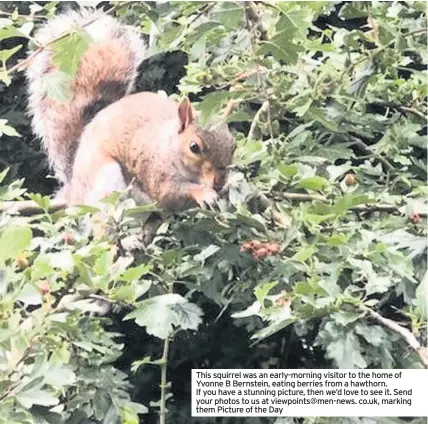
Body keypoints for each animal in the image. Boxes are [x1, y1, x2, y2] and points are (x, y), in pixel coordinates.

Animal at [25, 11, 237, 212]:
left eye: (233, 145)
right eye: (194, 147)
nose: (219, 181)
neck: (168, 146)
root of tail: (73, 187)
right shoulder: (154, 171)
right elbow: (168, 193)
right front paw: (203, 193)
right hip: (105, 179)